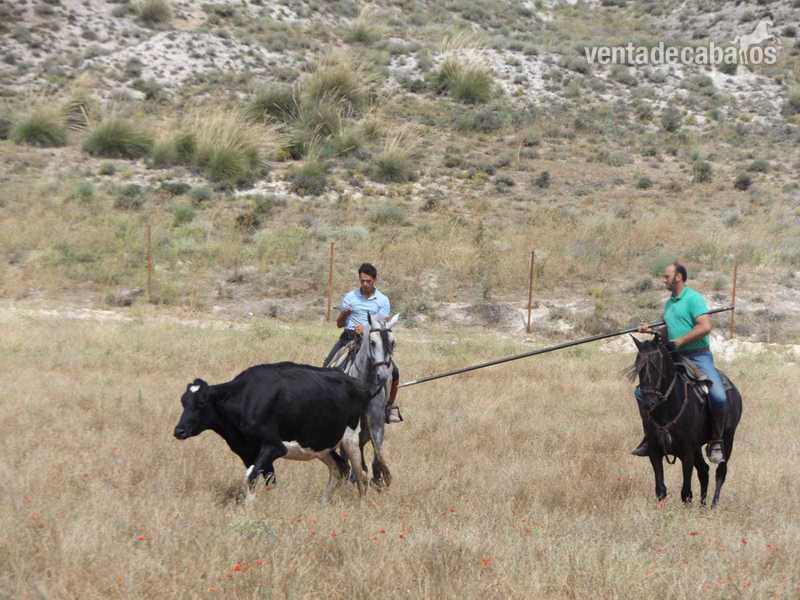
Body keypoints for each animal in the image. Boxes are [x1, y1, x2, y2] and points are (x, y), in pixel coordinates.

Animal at [628, 335, 743, 507]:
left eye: (656, 367)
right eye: (638, 367)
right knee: (704, 471)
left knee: (720, 472)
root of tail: (734, 390)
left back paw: (713, 506)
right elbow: (660, 490)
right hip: (697, 448)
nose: (649, 403)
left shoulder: (687, 453)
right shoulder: (654, 452)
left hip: (728, 439)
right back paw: (702, 507)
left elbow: (686, 493)